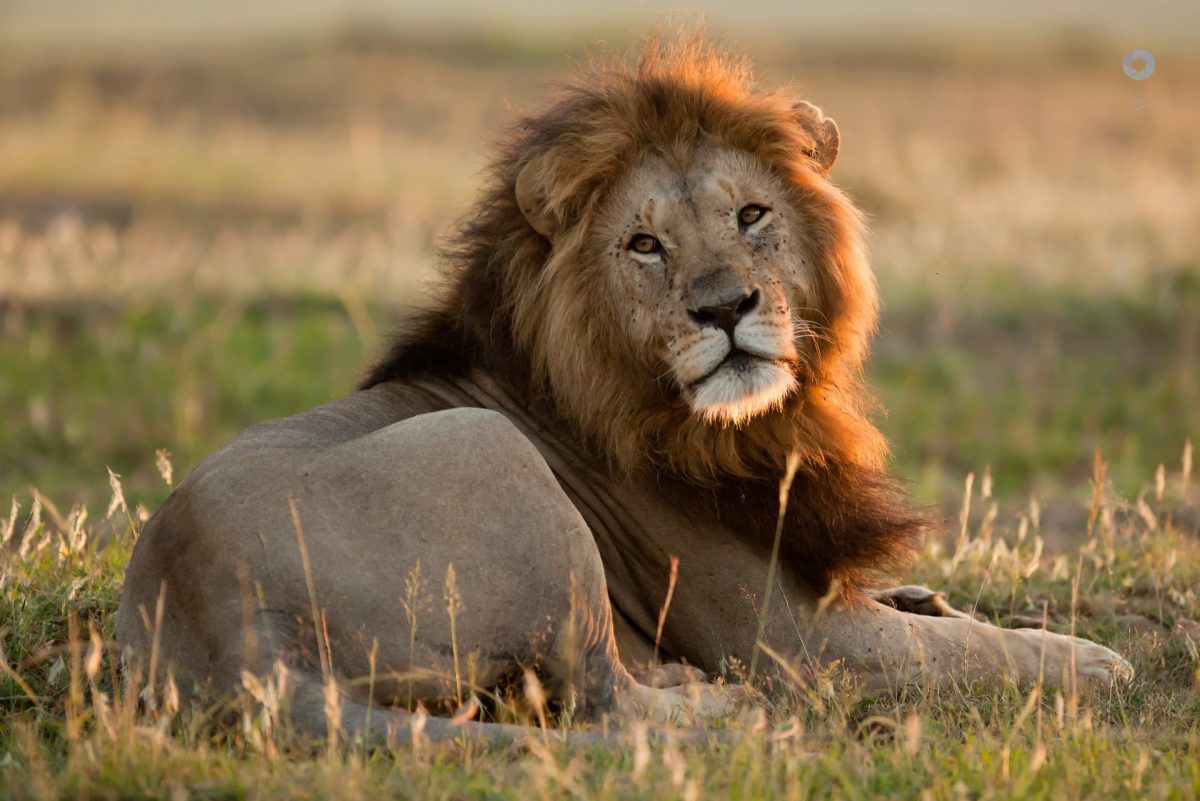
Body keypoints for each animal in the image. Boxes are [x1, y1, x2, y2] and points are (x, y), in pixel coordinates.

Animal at [114, 35, 1132, 738]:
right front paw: (1093, 660)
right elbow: (977, 651)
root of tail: (227, 621)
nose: (723, 306)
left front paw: (926, 594)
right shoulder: (799, 639)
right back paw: (722, 708)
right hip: (497, 458)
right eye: (645, 244)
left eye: (751, 214)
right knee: (599, 695)